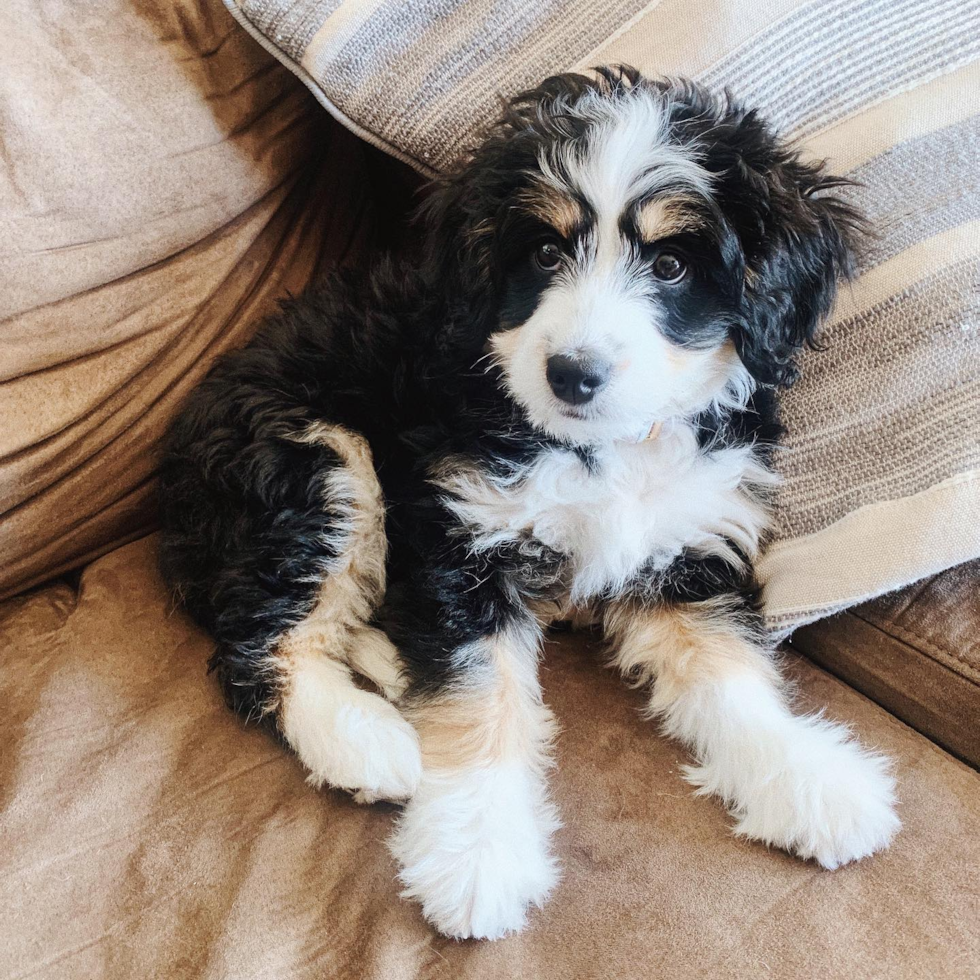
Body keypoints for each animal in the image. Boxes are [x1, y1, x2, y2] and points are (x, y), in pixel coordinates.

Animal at [157, 65, 900, 936]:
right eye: (544, 251)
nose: (571, 374)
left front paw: (808, 779)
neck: (603, 449)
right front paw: (477, 856)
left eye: (672, 266)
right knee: (261, 644)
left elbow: (730, 672)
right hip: (313, 466)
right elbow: (481, 697)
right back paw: (368, 740)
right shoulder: (460, 537)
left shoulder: (685, 546)